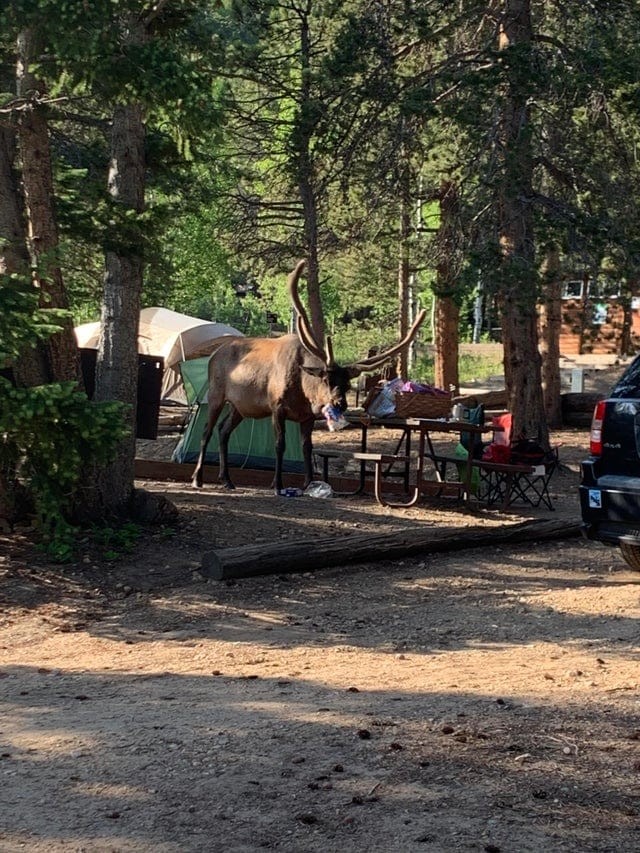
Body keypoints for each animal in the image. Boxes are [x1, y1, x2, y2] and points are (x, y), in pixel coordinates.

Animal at [192, 262, 428, 496]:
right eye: (326, 380)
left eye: (347, 384)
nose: (340, 404)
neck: (303, 390)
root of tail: (214, 355)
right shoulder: (276, 406)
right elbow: (280, 444)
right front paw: (277, 484)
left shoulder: (307, 416)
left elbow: (308, 447)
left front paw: (308, 483)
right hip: (216, 394)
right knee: (206, 431)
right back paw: (198, 478)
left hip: (240, 407)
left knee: (223, 431)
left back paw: (226, 479)